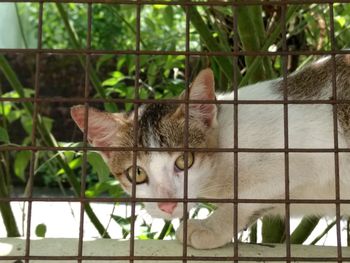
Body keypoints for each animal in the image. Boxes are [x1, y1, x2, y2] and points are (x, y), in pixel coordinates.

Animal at [69, 55, 350, 250]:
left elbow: (249, 193)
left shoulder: (312, 153)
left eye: (184, 161)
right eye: (136, 173)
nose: (167, 204)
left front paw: (210, 227)